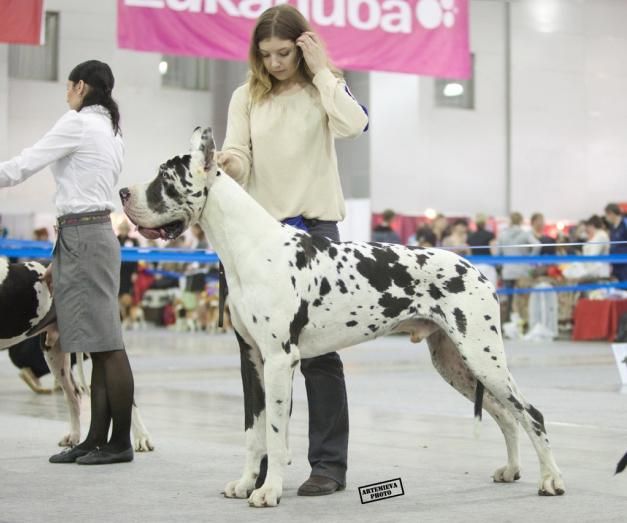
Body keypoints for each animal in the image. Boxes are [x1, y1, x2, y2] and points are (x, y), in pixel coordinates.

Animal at [120, 128, 565, 507]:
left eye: (164, 177)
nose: (123, 191)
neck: (250, 245)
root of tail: (478, 270)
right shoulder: (252, 361)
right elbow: (254, 433)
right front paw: (247, 483)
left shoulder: (280, 360)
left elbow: (276, 435)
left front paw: (269, 491)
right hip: (455, 362)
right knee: (506, 415)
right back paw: (512, 469)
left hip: (482, 355)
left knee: (531, 413)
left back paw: (551, 479)